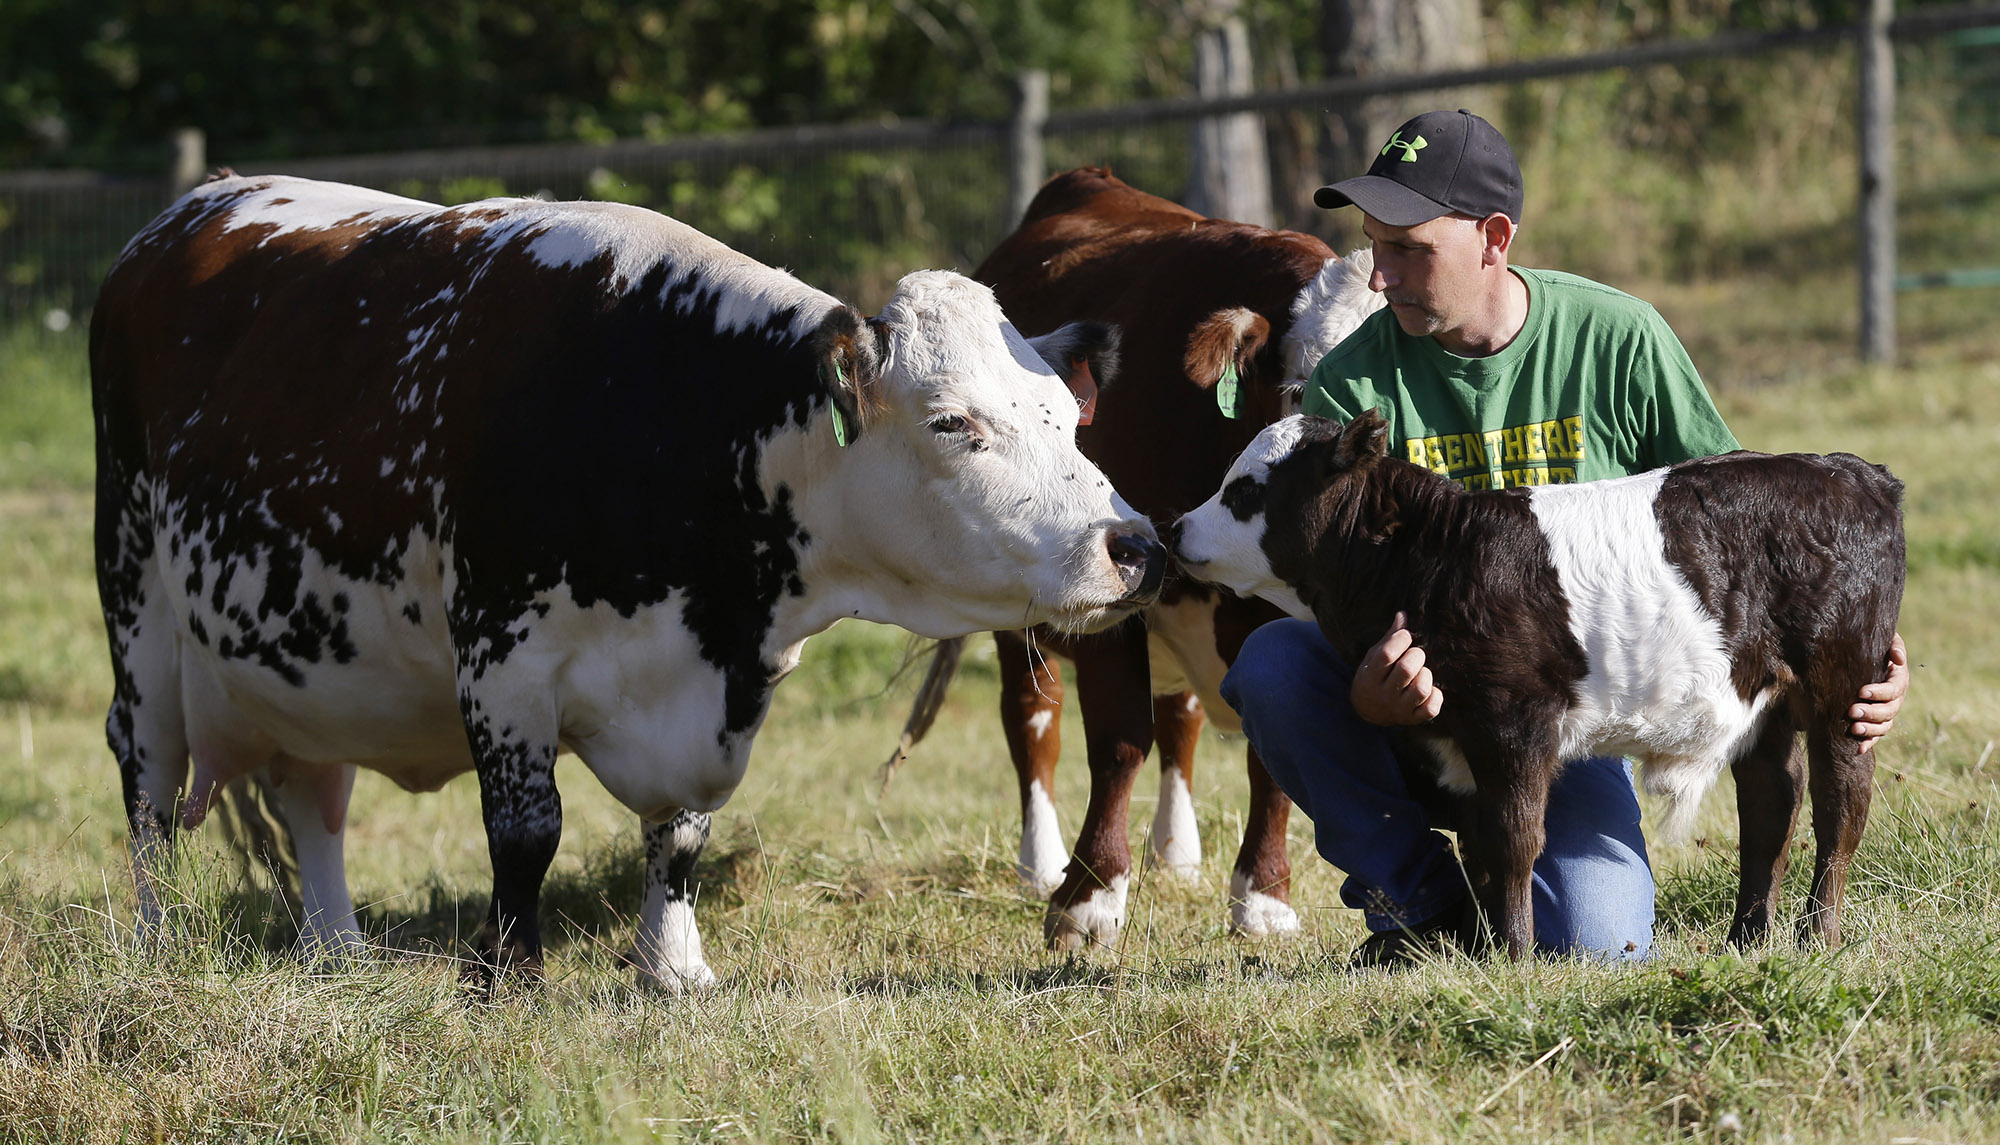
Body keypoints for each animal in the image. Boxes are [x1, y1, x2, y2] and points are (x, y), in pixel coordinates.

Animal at [90, 173, 1166, 991]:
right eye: (952, 422)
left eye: (1067, 417)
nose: (1133, 544)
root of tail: (192, 209)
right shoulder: (505, 659)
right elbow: (527, 829)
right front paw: (508, 975)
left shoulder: (718, 688)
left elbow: (681, 831)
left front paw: (672, 965)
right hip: (138, 610)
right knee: (149, 791)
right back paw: (156, 944)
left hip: (309, 669)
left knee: (313, 795)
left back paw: (339, 950)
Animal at [888, 168, 1383, 948]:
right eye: (1304, 391)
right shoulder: (1112, 585)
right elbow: (1119, 740)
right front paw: (1088, 897)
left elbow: (1268, 751)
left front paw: (1263, 896)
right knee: (1033, 717)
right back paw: (1040, 864)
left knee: (1179, 716)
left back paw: (1176, 851)